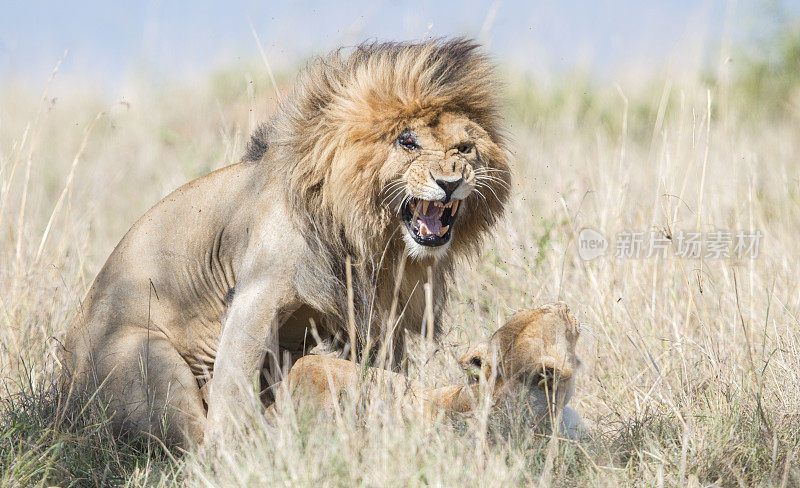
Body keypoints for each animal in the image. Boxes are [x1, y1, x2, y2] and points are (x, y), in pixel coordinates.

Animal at [62, 40, 512, 448]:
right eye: (407, 142)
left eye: (465, 148)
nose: (450, 181)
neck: (368, 234)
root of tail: (65, 391)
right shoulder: (257, 293)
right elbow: (234, 378)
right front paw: (233, 447)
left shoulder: (377, 314)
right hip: (147, 359)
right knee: (190, 440)